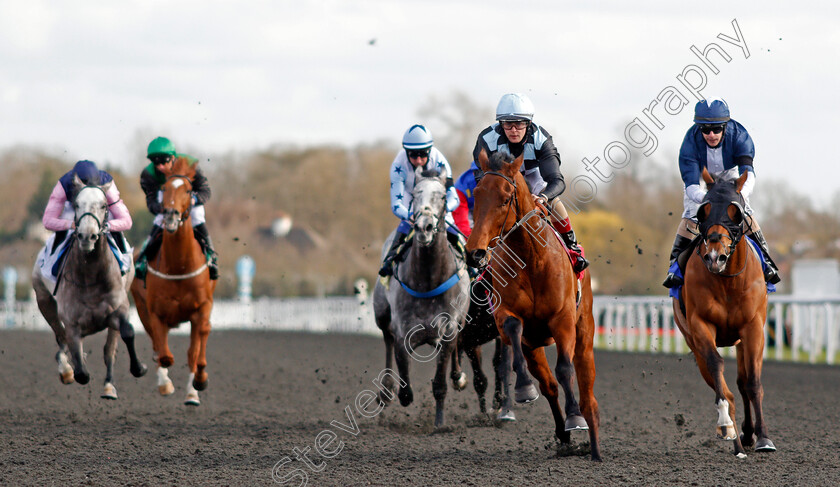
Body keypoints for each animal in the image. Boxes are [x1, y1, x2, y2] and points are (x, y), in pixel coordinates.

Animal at [32, 175, 148, 400]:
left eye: (104, 205)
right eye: (77, 204)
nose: (87, 236)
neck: (91, 276)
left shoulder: (118, 309)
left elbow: (127, 333)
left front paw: (139, 368)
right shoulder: (72, 324)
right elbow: (81, 371)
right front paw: (74, 368)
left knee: (109, 349)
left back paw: (109, 386)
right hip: (44, 300)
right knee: (61, 336)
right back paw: (66, 370)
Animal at [130, 157, 217, 408]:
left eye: (188, 190)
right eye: (164, 189)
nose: (170, 215)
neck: (179, 265)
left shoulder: (202, 307)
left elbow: (196, 352)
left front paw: (198, 384)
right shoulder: (155, 313)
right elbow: (164, 355)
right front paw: (165, 384)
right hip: (142, 308)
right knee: (158, 347)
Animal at [374, 170, 472, 428]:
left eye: (442, 196)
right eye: (416, 194)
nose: (424, 227)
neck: (428, 279)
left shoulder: (448, 327)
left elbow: (439, 383)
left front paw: (439, 423)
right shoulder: (403, 330)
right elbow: (405, 385)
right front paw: (398, 393)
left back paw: (458, 376)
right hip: (381, 314)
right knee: (386, 339)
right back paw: (385, 391)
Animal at [462, 152, 600, 462]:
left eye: (505, 198)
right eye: (476, 194)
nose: (475, 252)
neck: (532, 259)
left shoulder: (562, 321)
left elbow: (565, 369)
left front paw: (575, 418)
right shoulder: (506, 318)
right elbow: (514, 330)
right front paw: (524, 388)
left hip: (584, 333)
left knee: (587, 391)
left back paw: (593, 444)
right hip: (533, 346)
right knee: (548, 386)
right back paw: (563, 435)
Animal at [672, 168, 776, 458]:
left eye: (735, 211)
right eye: (704, 210)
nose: (714, 257)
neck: (728, 281)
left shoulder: (753, 327)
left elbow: (752, 382)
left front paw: (763, 437)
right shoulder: (700, 324)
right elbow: (716, 365)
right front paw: (725, 424)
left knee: (742, 383)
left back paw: (749, 435)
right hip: (692, 341)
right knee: (725, 387)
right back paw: (735, 438)